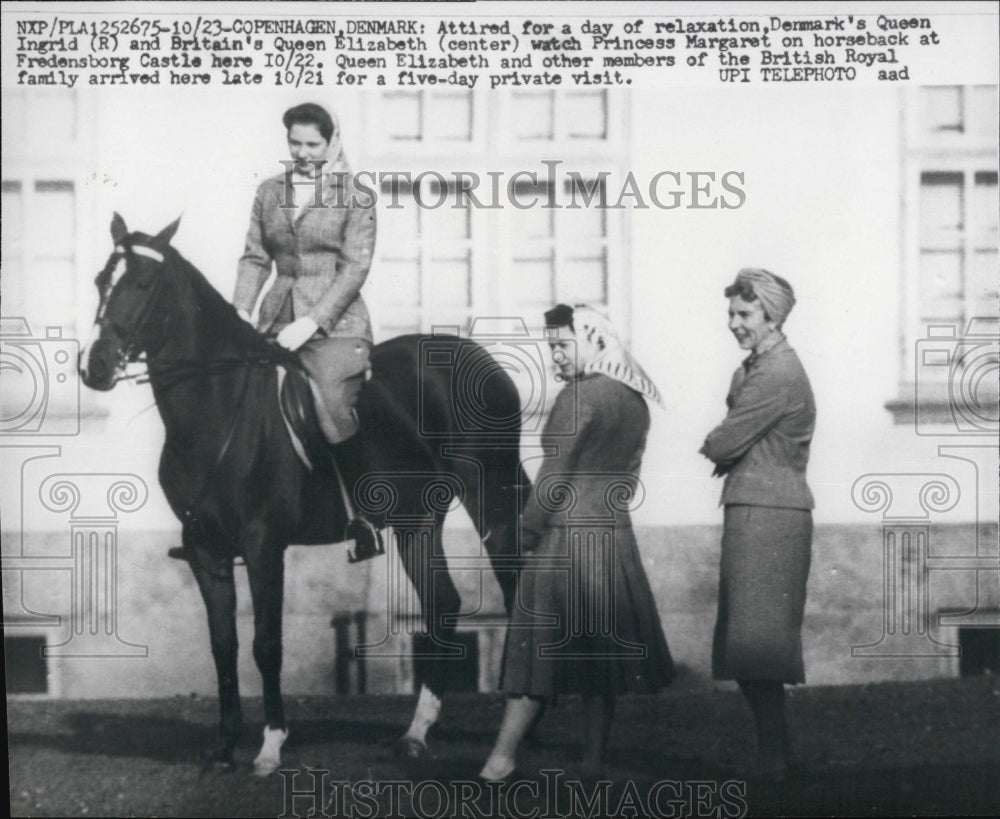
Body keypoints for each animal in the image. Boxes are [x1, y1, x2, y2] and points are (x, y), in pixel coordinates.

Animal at [79, 215, 532, 780]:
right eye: (101, 281)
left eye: (142, 284)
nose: (94, 367)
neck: (218, 408)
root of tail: (483, 360)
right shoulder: (206, 552)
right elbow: (223, 647)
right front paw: (224, 747)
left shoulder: (262, 546)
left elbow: (266, 645)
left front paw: (271, 745)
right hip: (417, 521)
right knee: (442, 603)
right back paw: (416, 734)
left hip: (491, 502)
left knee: (513, 595)